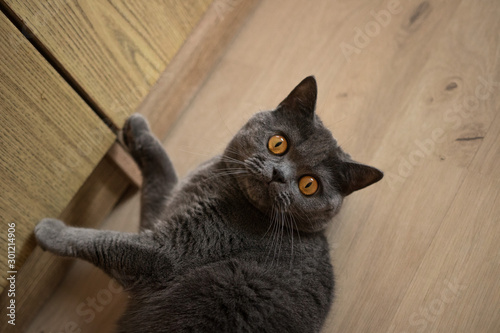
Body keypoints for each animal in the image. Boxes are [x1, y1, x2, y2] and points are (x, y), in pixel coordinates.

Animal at [35, 76, 380, 330]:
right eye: (278, 143)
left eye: (309, 185)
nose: (278, 174)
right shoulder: (168, 208)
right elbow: (162, 175)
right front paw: (138, 130)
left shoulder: (169, 250)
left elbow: (109, 242)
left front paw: (51, 231)